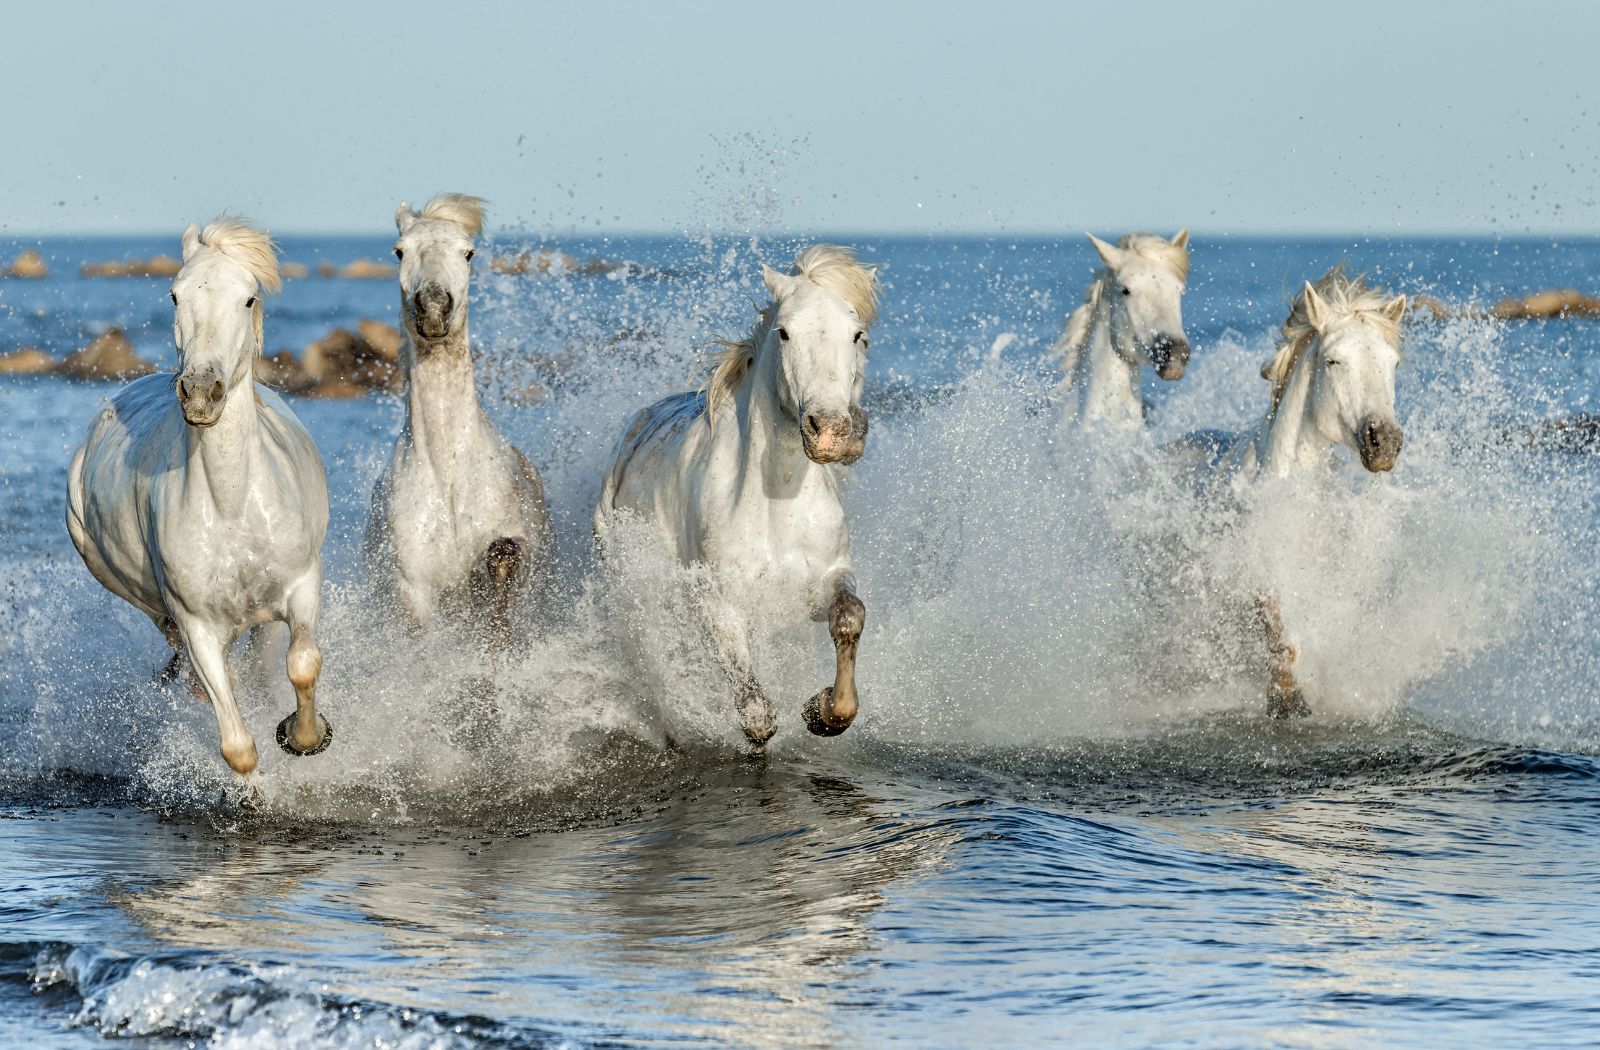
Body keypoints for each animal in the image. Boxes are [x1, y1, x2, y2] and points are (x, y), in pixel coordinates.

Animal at [65, 217, 331, 774]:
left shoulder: (301, 586)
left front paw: (304, 737)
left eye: (248, 298)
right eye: (175, 294)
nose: (202, 393)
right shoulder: (198, 628)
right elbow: (237, 748)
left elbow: (302, 662)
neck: (232, 506)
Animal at [366, 192, 553, 643]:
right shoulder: (411, 591)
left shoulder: (515, 554)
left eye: (468, 252)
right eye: (399, 251)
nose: (434, 306)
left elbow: (502, 572)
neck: (448, 471)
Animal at [598, 243, 883, 745]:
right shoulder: (721, 607)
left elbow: (849, 617)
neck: (777, 506)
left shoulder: (826, 579)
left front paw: (823, 710)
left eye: (857, 335)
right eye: (785, 333)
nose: (831, 433)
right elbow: (756, 717)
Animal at [1184, 267, 1408, 717]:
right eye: (1333, 360)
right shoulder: (1255, 573)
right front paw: (1286, 698)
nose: (1384, 443)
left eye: (1392, 362)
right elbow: (1277, 626)